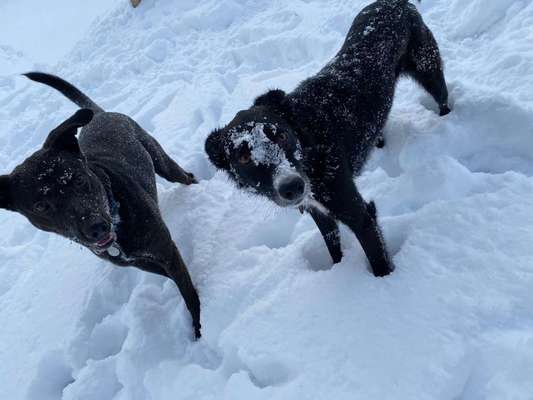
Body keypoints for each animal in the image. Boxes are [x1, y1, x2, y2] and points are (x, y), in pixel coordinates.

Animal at [0, 72, 202, 338]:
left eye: (78, 179)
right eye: (41, 206)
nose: (96, 228)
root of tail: (99, 114)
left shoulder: (165, 249)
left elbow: (187, 291)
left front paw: (198, 327)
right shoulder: (142, 262)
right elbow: (171, 277)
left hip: (162, 162)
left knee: (186, 176)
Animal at [204, 0, 448, 276]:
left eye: (280, 134)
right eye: (243, 157)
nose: (292, 186)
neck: (308, 143)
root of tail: (395, 3)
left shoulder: (361, 215)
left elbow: (378, 260)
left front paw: (384, 284)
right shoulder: (318, 211)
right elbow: (333, 247)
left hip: (429, 68)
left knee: (443, 98)